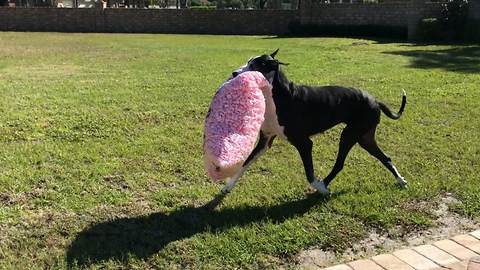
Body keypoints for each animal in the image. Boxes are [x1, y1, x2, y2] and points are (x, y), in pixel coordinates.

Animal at [221, 49, 404, 195]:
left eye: (254, 66)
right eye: (248, 62)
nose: (234, 74)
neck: (280, 96)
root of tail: (376, 101)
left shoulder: (304, 143)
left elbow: (309, 175)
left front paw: (320, 188)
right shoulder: (265, 141)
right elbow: (245, 163)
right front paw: (228, 185)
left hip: (349, 136)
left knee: (339, 164)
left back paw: (324, 184)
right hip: (364, 137)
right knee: (385, 158)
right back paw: (401, 180)